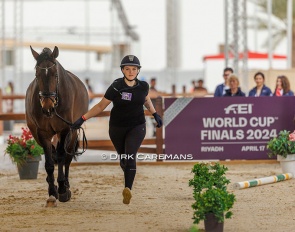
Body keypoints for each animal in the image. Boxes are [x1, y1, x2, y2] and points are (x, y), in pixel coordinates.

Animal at [25, 46, 88, 202]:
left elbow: (60, 157)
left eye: (55, 75)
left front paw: (62, 189)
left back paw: (66, 185)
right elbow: (49, 163)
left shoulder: (64, 130)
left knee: (67, 158)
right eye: (37, 74)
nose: (47, 107)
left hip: (72, 134)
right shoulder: (42, 133)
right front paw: (52, 190)